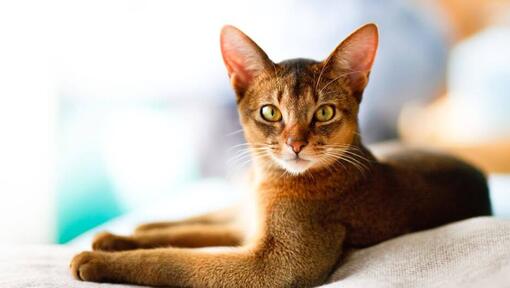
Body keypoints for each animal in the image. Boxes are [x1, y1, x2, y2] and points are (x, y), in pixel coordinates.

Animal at [69, 23, 492, 286]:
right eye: (270, 112)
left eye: (325, 113)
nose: (295, 143)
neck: (270, 181)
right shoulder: (253, 231)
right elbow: (189, 237)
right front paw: (114, 242)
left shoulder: (276, 265)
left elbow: (178, 260)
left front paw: (99, 261)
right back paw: (130, 229)